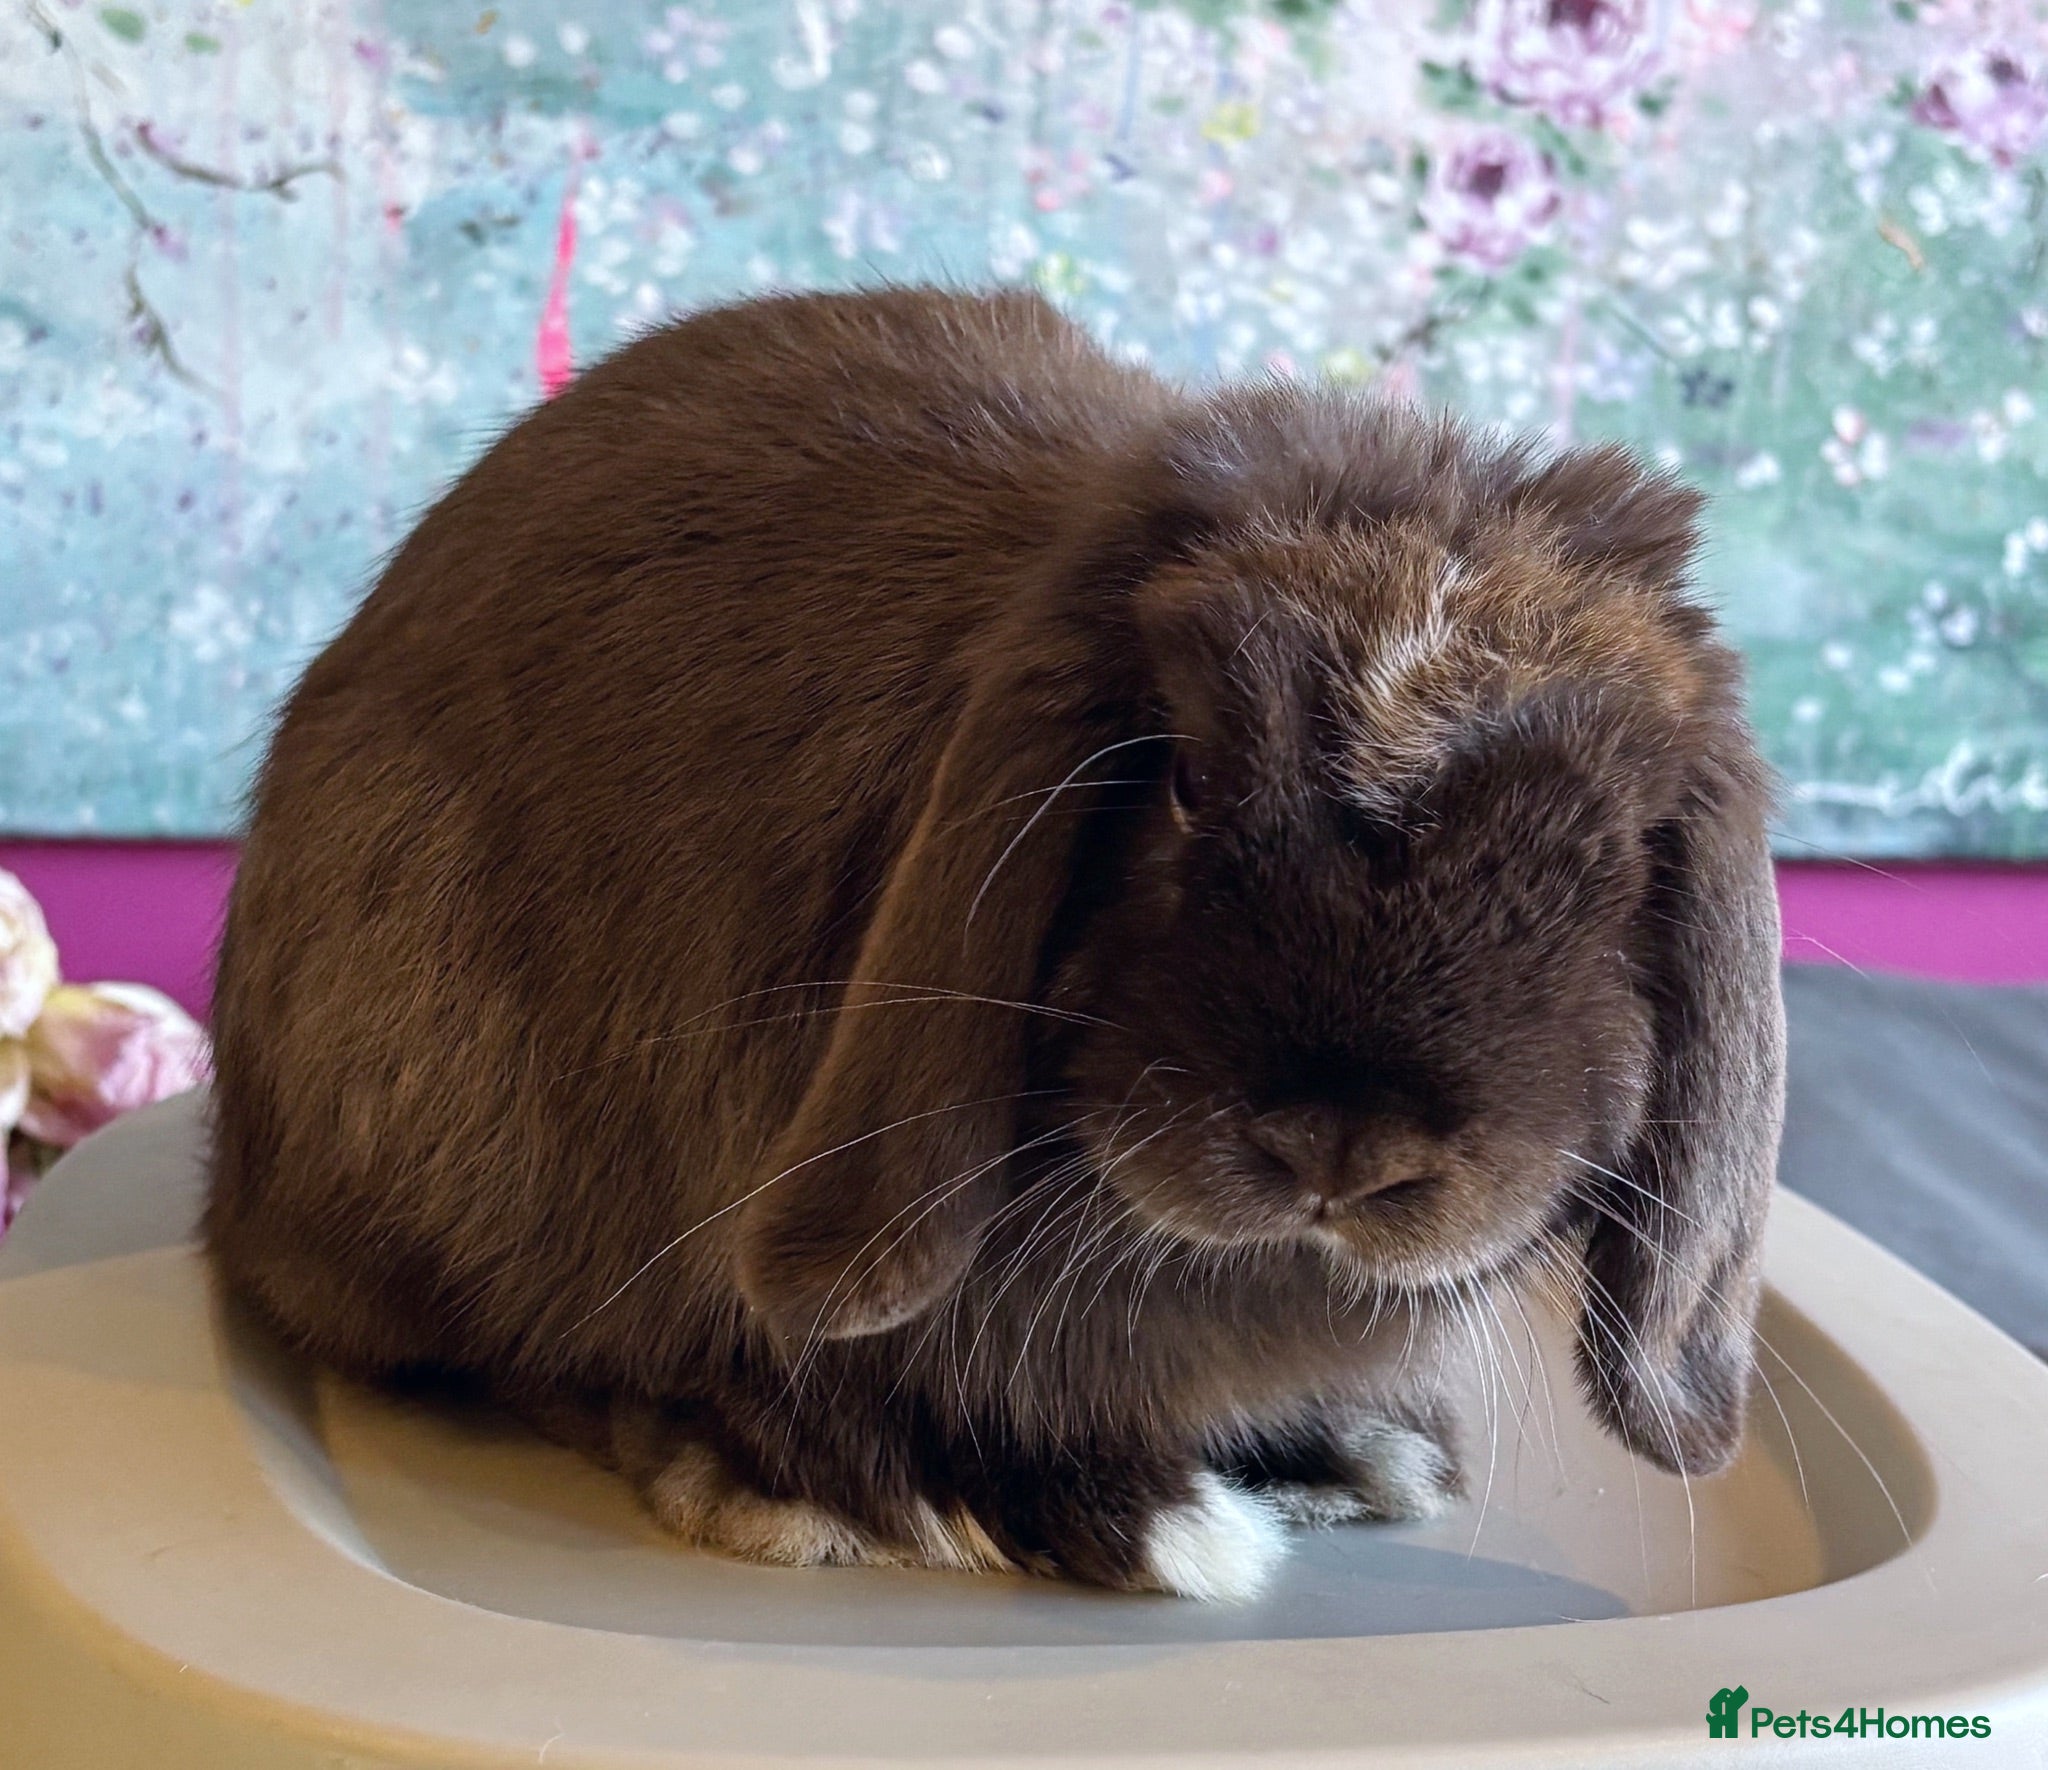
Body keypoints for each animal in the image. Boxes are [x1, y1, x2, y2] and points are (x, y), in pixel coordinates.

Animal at [205, 286, 1785, 1601]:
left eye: (1623, 853)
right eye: (1186, 778)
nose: (1347, 1146)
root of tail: (244, 1182)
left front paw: (1353, 1448)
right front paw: (1065, 1511)